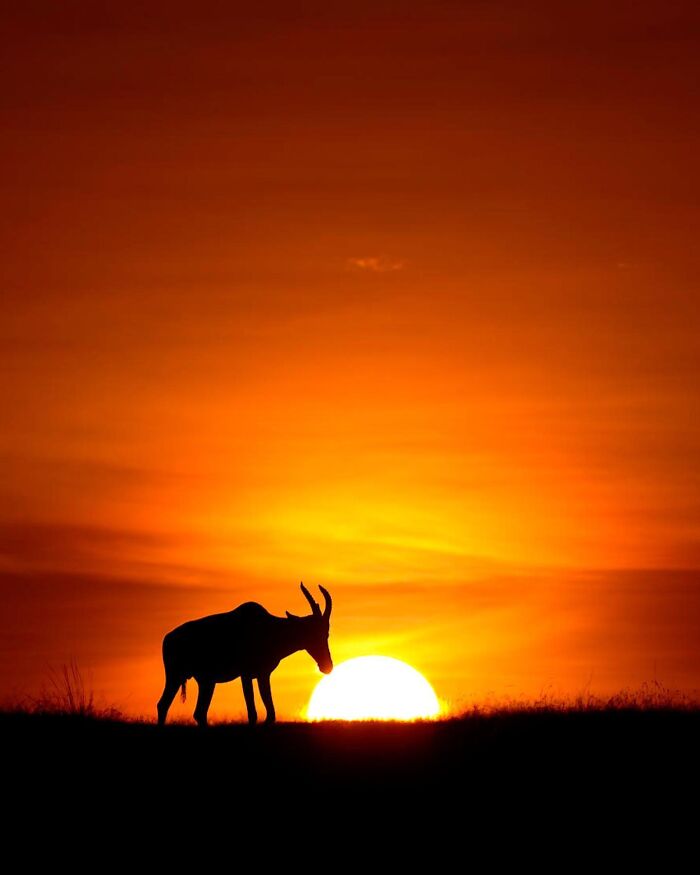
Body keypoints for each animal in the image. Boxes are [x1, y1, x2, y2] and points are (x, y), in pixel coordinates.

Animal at [157, 583, 333, 726]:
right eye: (313, 632)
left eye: (326, 633)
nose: (327, 666)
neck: (268, 627)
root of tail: (168, 638)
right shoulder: (246, 675)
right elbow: (253, 714)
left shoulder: (263, 675)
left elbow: (270, 714)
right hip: (175, 676)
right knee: (163, 705)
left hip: (206, 682)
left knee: (199, 713)